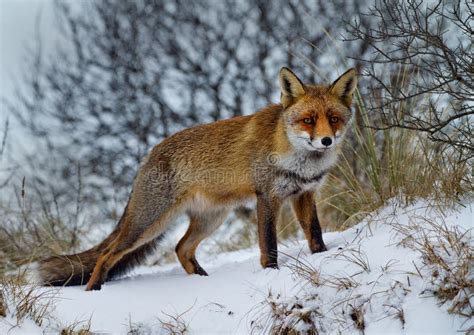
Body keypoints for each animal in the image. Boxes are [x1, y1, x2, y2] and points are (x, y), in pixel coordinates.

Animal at [34, 66, 356, 292]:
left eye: (333, 118)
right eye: (308, 120)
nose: (327, 141)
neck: (297, 158)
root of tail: (150, 154)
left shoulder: (304, 193)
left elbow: (315, 234)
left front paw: (322, 258)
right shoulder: (268, 197)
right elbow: (269, 245)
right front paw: (271, 274)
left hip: (210, 219)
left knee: (181, 249)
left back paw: (202, 281)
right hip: (148, 224)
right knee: (106, 254)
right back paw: (94, 291)